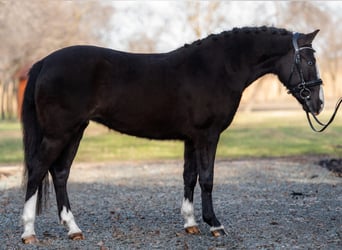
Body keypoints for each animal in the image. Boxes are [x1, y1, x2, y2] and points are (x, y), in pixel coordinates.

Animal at [21, 26, 324, 243]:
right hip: (59, 134)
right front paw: (215, 224)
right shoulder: (207, 136)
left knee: (60, 173)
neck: (218, 68)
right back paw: (28, 232)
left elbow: (189, 177)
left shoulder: (191, 138)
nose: (319, 103)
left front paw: (190, 223)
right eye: (309, 60)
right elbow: (207, 179)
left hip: (75, 131)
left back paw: (73, 229)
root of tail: (45, 61)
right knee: (37, 171)